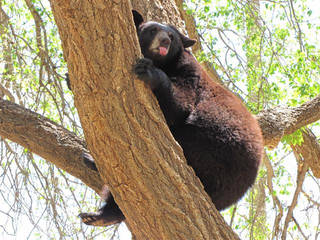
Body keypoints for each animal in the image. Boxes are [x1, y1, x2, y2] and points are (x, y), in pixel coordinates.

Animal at [79, 9, 264, 227]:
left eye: (172, 36)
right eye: (152, 30)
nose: (165, 40)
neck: (165, 63)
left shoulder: (190, 75)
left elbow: (180, 105)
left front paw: (149, 72)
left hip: (209, 150)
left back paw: (102, 211)